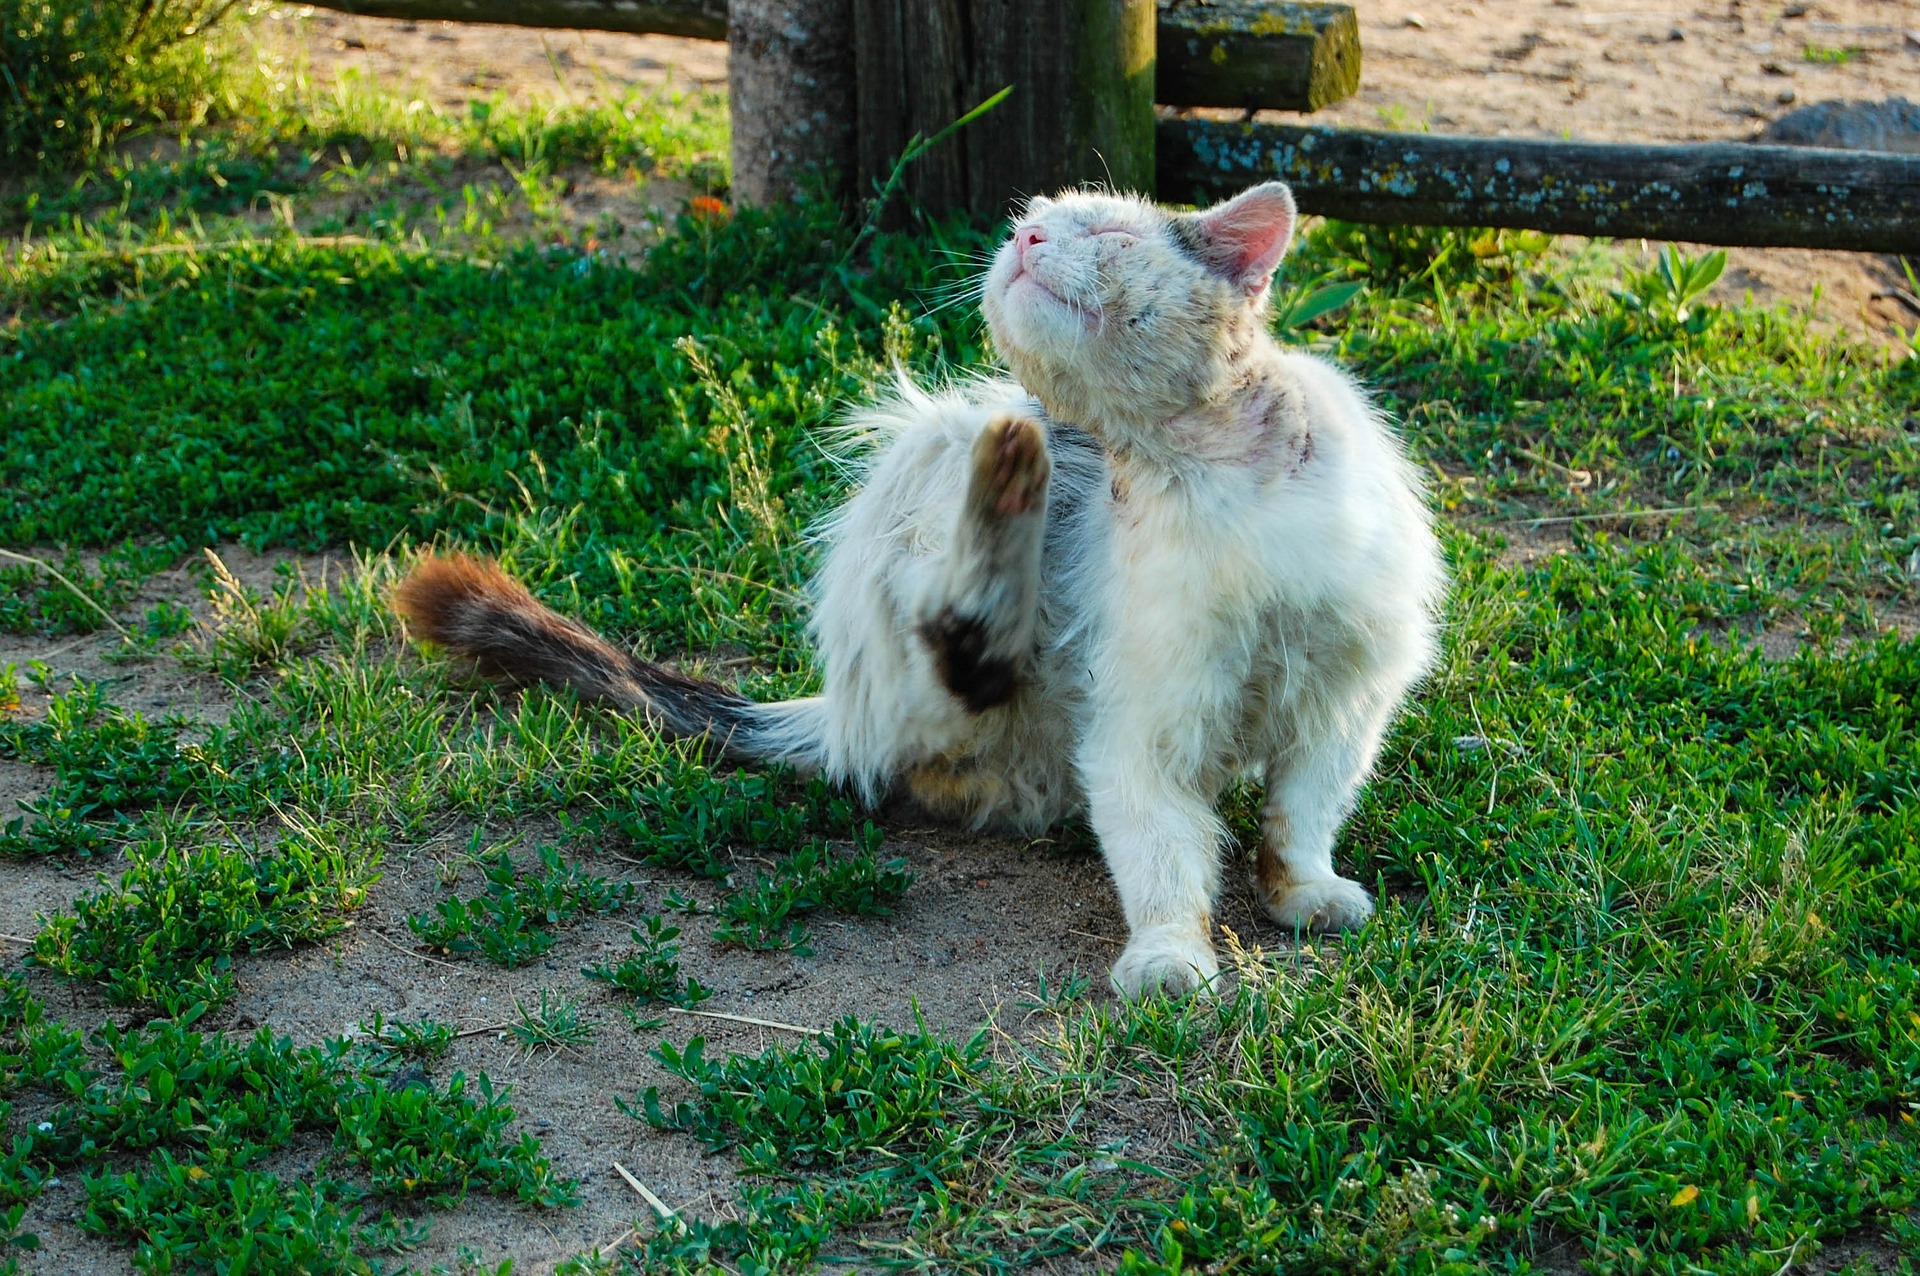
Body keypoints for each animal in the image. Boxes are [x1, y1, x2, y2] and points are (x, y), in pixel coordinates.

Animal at [397, 179, 1443, 997]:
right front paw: (1169, 957)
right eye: (1032, 222)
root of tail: (836, 709)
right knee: (952, 648)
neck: (1206, 476)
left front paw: (1304, 891)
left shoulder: (1347, 702)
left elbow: (1299, 814)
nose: (1022, 241)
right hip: (935, 447)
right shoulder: (1141, 730)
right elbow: (1161, 857)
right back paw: (1010, 484)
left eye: (1102, 232)